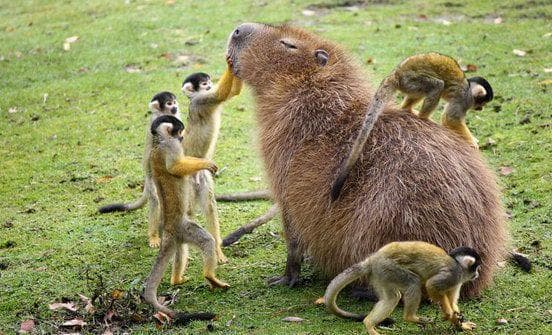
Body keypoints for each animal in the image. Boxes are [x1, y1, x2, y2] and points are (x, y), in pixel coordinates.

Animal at [144, 115, 229, 320]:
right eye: (179, 131)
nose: (182, 137)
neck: (159, 141)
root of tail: (168, 228)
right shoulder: (171, 145)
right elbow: (175, 166)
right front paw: (205, 163)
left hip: (178, 235)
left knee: (181, 250)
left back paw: (176, 280)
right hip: (186, 228)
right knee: (206, 240)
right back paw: (210, 277)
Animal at [322, 243, 480, 334]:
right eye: (476, 267)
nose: (477, 274)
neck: (458, 265)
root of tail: (372, 259)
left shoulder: (457, 280)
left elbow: (452, 301)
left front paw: (460, 323)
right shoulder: (453, 274)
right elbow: (432, 285)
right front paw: (449, 314)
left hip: (380, 274)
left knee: (391, 298)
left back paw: (368, 323)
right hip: (388, 267)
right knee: (413, 283)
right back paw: (410, 317)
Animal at [330, 51, 494, 201]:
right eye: (483, 102)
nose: (481, 108)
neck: (468, 87)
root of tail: (396, 73)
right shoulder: (463, 98)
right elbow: (450, 118)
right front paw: (472, 143)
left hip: (409, 84)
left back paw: (407, 109)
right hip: (411, 80)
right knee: (437, 85)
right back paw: (424, 117)